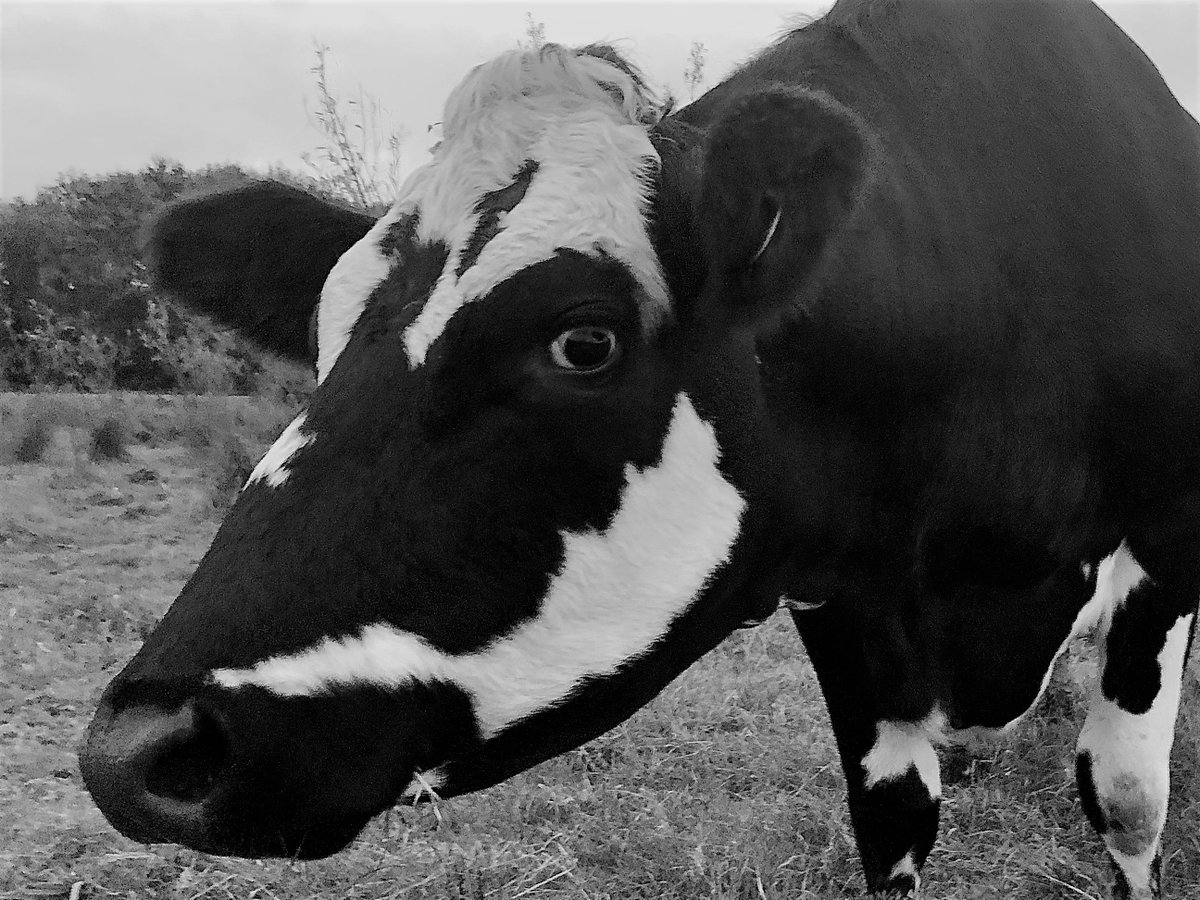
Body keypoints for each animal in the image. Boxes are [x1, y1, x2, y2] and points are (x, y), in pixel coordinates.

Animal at [79, 1, 1200, 897]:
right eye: (322, 335)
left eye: (584, 341)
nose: (138, 752)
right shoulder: (844, 601)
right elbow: (892, 823)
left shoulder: (1163, 557)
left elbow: (1127, 801)